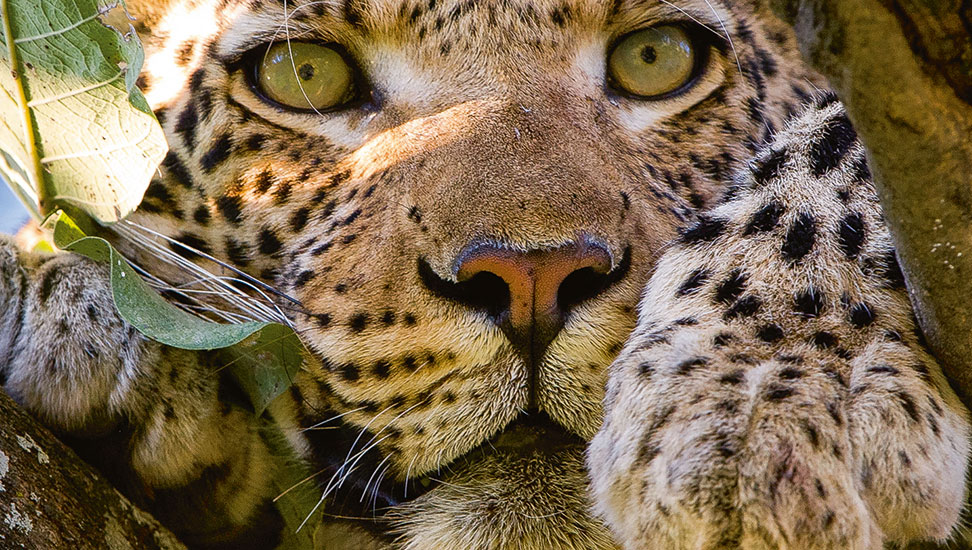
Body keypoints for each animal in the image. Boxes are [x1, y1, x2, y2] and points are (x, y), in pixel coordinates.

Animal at [0, 0, 967, 550]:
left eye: (657, 56)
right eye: (301, 72)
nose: (534, 278)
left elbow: (841, 142)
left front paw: (773, 392)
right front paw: (58, 303)